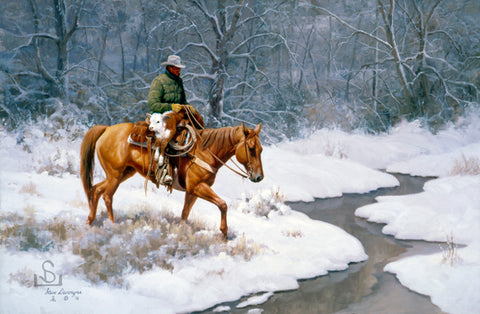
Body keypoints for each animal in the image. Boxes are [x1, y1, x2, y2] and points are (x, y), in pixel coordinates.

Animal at [80, 119, 264, 237]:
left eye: (261, 149)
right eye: (251, 148)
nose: (258, 177)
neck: (204, 152)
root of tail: (107, 129)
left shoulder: (192, 192)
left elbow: (185, 213)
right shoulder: (198, 187)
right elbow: (223, 204)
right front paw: (224, 233)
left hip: (123, 173)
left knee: (95, 190)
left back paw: (90, 221)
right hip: (115, 174)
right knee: (107, 196)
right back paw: (112, 225)